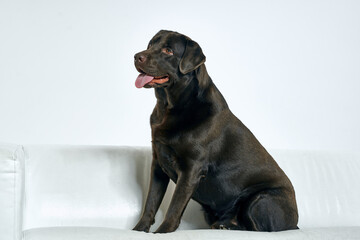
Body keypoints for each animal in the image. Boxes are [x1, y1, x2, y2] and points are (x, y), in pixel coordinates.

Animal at [132, 29, 298, 232]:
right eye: (150, 45)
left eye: (168, 50)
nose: (136, 56)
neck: (170, 106)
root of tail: (295, 223)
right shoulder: (158, 163)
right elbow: (151, 202)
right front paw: (139, 230)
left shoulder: (191, 169)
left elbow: (174, 206)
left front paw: (162, 232)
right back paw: (223, 225)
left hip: (260, 199)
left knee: (259, 229)